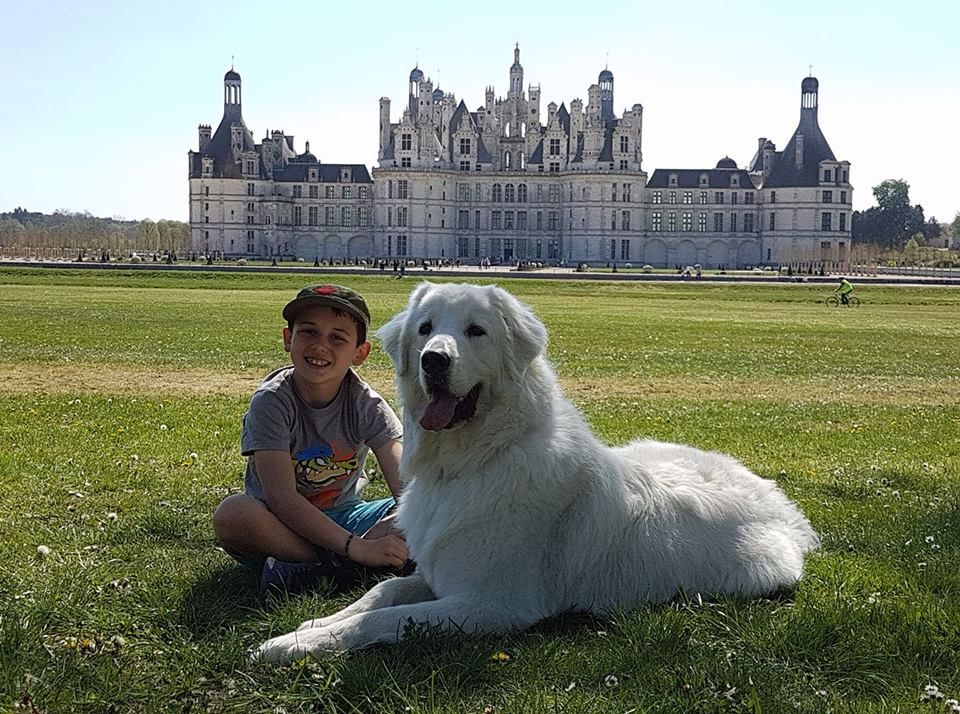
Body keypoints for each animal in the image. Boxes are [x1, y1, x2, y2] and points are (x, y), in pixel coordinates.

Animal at [256, 280, 816, 660]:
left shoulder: (488, 603)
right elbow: (381, 593)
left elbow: (386, 620)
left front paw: (292, 645)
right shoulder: (437, 575)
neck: (469, 463)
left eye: (475, 331)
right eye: (426, 329)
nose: (434, 360)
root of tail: (786, 510)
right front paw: (310, 625)